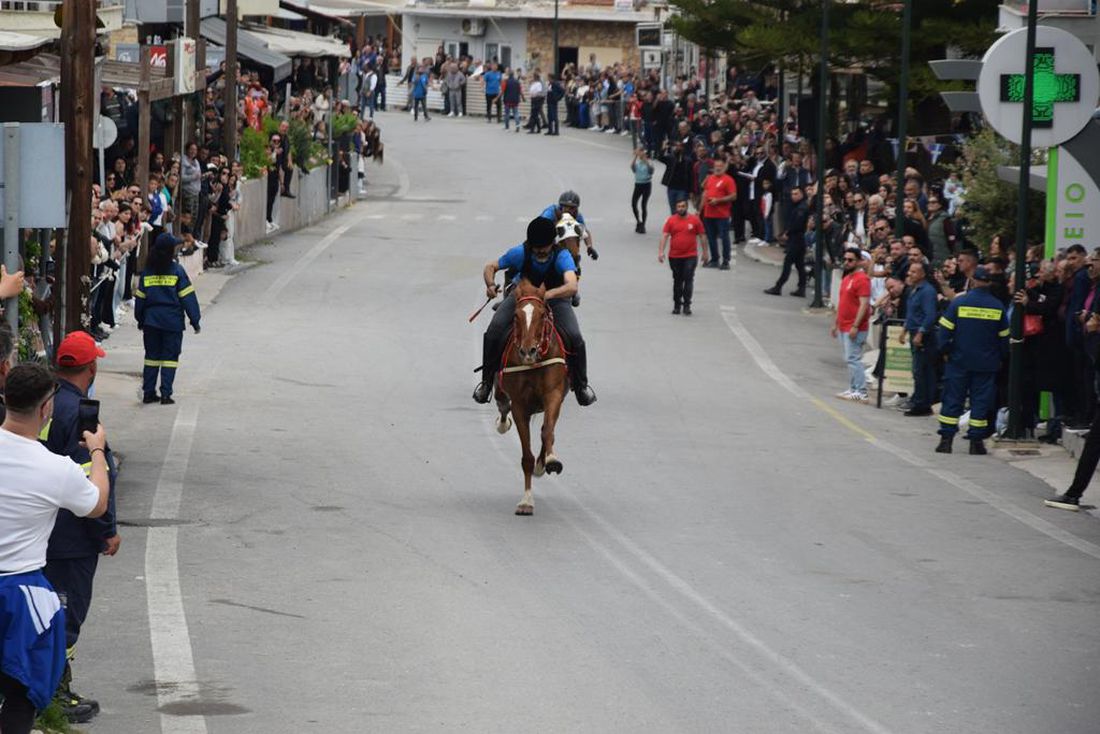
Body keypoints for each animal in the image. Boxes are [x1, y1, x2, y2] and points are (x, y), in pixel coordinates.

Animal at [493, 279, 569, 516]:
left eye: (542, 314)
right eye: (516, 315)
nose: (528, 351)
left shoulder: (554, 395)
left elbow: (547, 431)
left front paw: (550, 461)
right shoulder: (520, 405)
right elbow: (526, 456)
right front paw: (526, 501)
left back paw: (543, 463)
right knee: (501, 402)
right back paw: (502, 422)